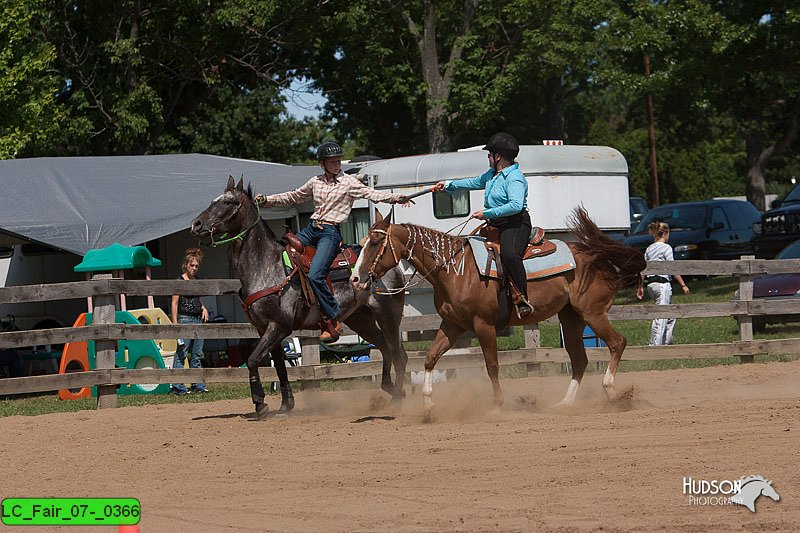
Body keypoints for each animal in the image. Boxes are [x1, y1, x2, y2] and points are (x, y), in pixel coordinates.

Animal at [191, 177, 410, 418]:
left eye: (228, 202)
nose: (196, 224)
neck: (266, 266)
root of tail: (392, 264)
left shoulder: (279, 326)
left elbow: (253, 359)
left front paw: (260, 403)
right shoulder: (264, 328)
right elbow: (279, 366)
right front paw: (286, 405)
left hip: (388, 314)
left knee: (398, 354)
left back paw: (398, 399)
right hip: (362, 320)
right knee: (386, 348)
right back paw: (390, 388)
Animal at [350, 208, 644, 420]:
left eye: (375, 242)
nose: (355, 279)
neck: (455, 270)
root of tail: (595, 255)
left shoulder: (484, 325)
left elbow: (492, 365)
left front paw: (497, 406)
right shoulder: (452, 325)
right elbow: (430, 358)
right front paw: (429, 406)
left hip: (592, 313)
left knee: (617, 343)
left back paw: (613, 392)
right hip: (571, 318)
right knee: (580, 360)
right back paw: (565, 404)